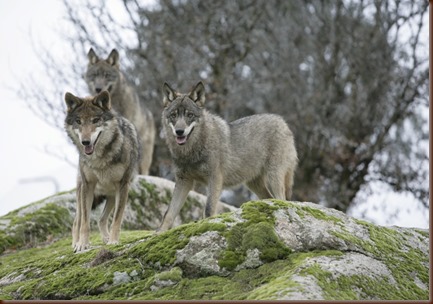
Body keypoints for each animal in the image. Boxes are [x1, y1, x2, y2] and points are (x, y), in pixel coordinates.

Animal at [64, 90, 140, 252]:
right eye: (78, 121)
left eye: (95, 120)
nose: (85, 142)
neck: (99, 159)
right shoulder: (88, 185)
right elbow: (85, 222)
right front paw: (82, 244)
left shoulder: (123, 186)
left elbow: (116, 219)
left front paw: (113, 241)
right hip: (82, 192)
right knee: (77, 222)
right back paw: (75, 243)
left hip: (111, 195)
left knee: (101, 219)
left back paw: (106, 238)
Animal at [159, 82, 296, 232]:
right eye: (173, 115)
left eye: (190, 115)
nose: (179, 131)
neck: (191, 151)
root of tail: (283, 122)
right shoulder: (184, 181)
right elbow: (168, 214)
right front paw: (158, 233)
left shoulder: (215, 178)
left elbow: (208, 210)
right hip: (254, 184)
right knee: (270, 199)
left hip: (274, 178)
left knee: (282, 200)